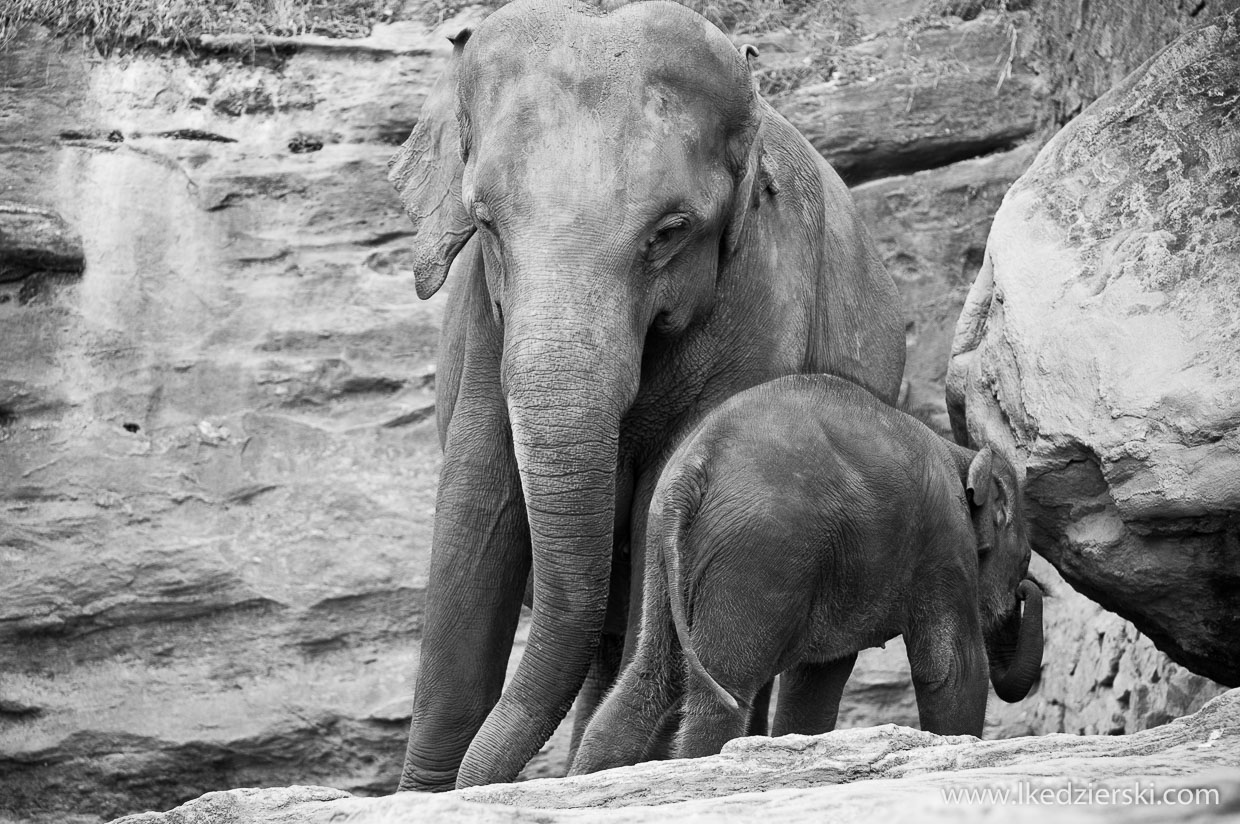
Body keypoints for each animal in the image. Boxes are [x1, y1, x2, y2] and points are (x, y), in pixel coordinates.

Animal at [386, 0, 902, 793]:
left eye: (669, 232)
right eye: (486, 222)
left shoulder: (761, 293)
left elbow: (665, 491)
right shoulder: (481, 315)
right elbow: (477, 504)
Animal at [575, 371, 1041, 773]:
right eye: (1024, 560)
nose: (1028, 589)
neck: (961, 453)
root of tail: (696, 465)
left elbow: (818, 679)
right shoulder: (945, 545)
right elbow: (953, 668)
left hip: (663, 549)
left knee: (649, 675)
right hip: (761, 551)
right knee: (724, 688)